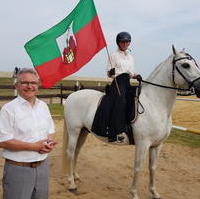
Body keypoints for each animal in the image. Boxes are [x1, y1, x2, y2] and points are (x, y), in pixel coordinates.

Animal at [63, 45, 200, 198]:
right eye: (186, 65)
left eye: (195, 63)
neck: (154, 103)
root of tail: (72, 96)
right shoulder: (143, 143)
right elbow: (138, 167)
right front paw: (134, 193)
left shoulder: (157, 145)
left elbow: (153, 168)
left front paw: (154, 192)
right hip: (74, 131)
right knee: (70, 152)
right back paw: (71, 184)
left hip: (83, 131)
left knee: (77, 152)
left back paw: (75, 176)